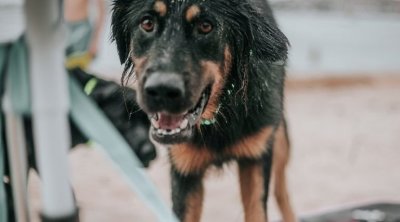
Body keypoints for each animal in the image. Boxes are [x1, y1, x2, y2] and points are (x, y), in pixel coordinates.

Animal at [111, 0, 296, 221]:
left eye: (205, 26)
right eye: (147, 23)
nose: (162, 91)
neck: (221, 112)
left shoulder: (257, 154)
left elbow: (257, 211)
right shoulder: (184, 168)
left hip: (280, 140)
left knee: (281, 191)